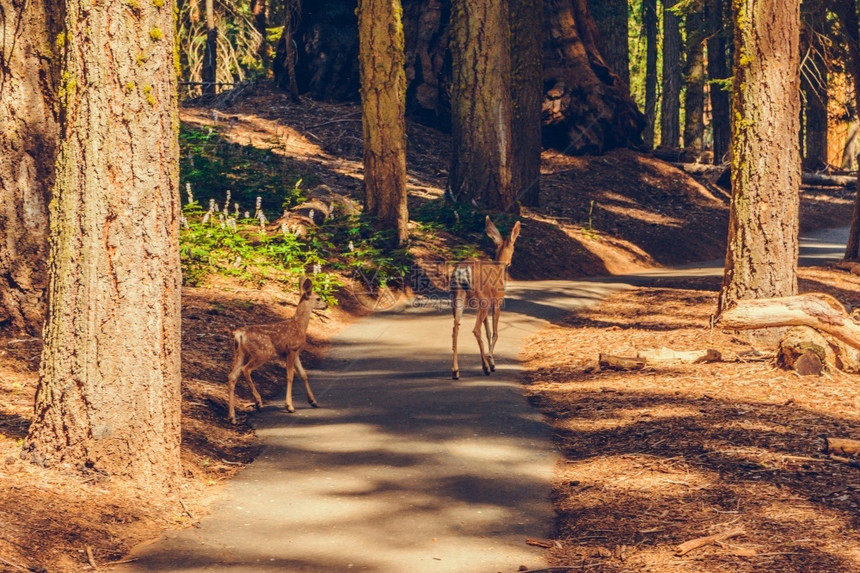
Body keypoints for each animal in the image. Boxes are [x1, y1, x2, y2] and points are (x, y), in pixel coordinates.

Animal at [227, 274, 328, 422]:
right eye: (318, 298)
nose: (326, 305)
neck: (299, 326)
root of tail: (239, 334)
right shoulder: (291, 349)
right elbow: (290, 376)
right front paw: (289, 406)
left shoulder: (296, 352)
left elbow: (303, 374)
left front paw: (313, 401)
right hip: (262, 352)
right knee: (246, 370)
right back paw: (258, 402)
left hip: (241, 353)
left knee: (232, 375)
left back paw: (232, 416)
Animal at [454, 216, 520, 380]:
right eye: (514, 246)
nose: (511, 262)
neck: (499, 268)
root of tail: (463, 269)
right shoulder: (497, 301)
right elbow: (495, 332)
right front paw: (491, 360)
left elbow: (488, 332)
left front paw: (491, 361)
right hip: (482, 299)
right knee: (475, 330)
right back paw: (485, 368)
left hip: (459, 296)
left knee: (456, 327)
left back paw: (455, 371)